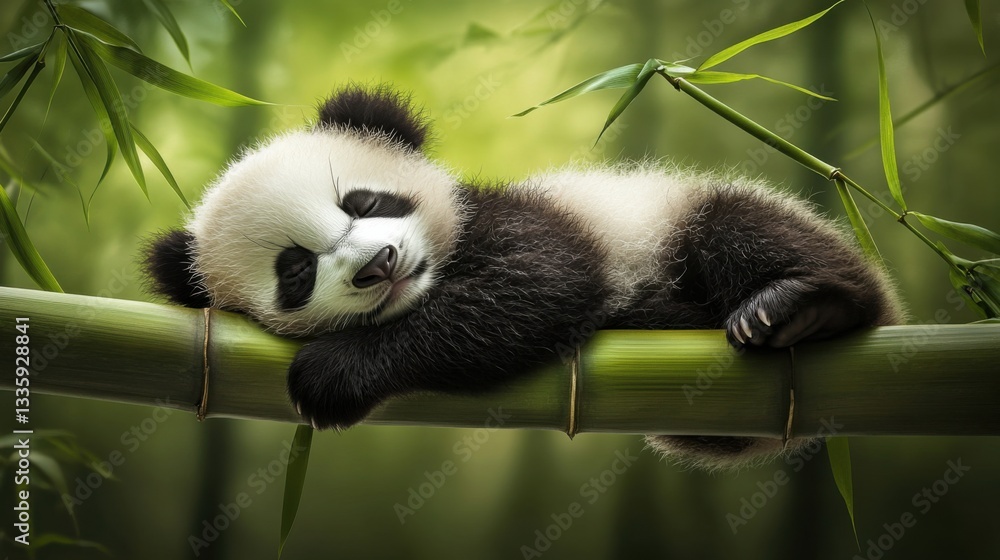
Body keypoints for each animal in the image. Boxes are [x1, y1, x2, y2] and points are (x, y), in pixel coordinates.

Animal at [144, 84, 902, 470]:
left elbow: (535, 281)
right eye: (296, 271)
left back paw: (803, 306)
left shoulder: (526, 216)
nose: (378, 265)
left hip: (676, 218)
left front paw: (332, 374)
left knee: (740, 226)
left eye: (364, 202)